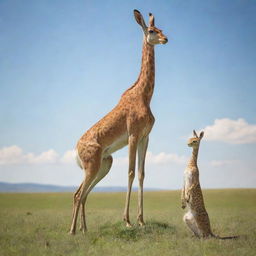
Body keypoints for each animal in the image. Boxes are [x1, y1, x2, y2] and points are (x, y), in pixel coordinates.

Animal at [69, 9, 168, 234]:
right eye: (152, 30)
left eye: (161, 28)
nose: (166, 39)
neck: (144, 95)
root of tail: (76, 149)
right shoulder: (133, 135)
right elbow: (130, 172)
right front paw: (128, 221)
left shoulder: (145, 137)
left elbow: (141, 173)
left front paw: (141, 220)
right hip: (92, 165)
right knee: (78, 194)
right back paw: (72, 231)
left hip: (105, 163)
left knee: (82, 194)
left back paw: (84, 230)